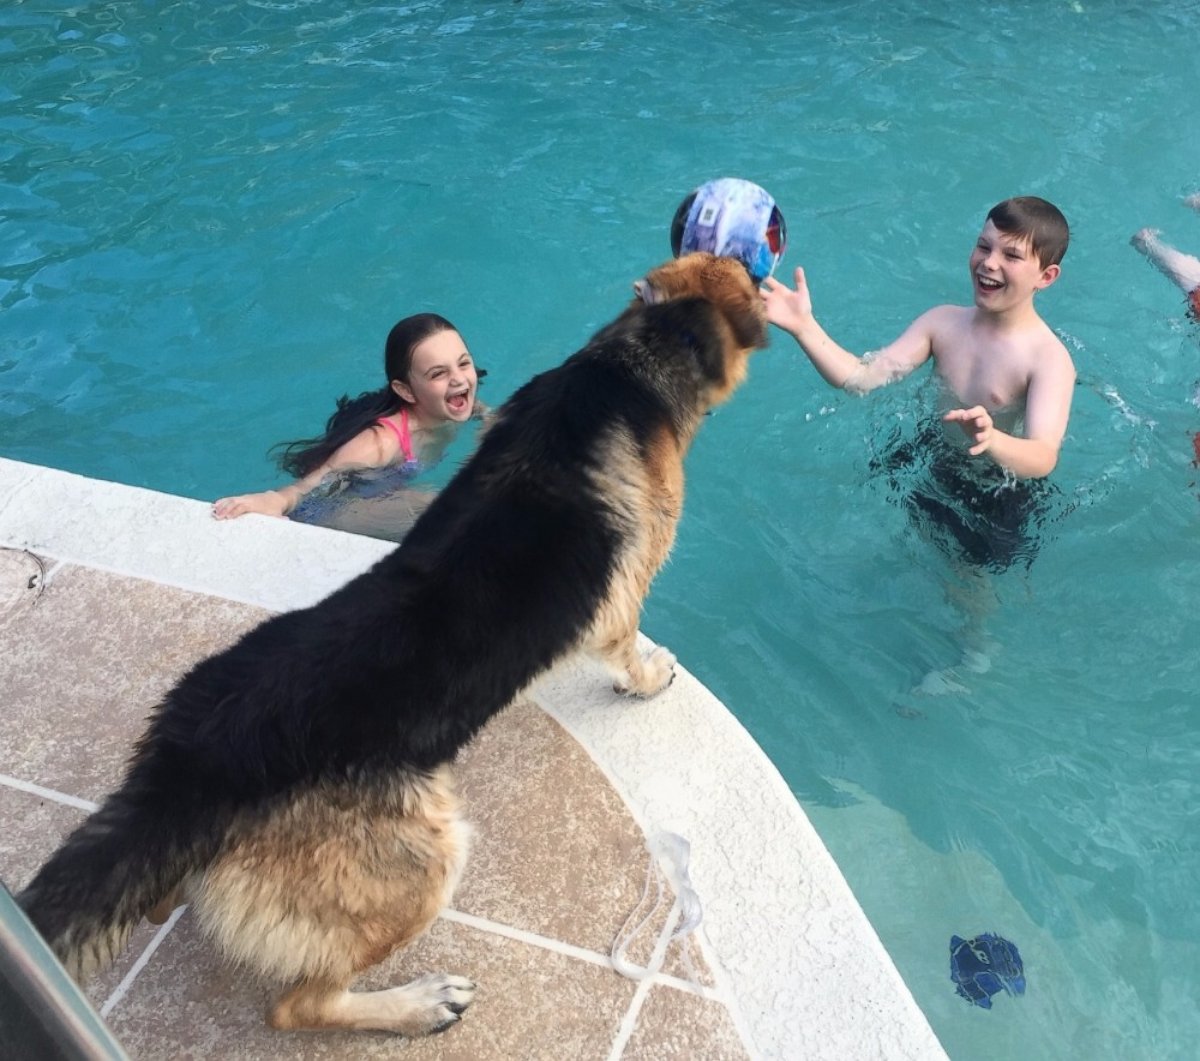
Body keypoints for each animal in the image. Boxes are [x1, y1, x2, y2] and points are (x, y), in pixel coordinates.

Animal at [16, 254, 768, 1036]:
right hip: (424, 857)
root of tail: (190, 770)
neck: (631, 358)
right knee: (298, 1005)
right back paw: (416, 1002)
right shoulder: (625, 592)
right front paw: (648, 677)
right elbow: (627, 652)